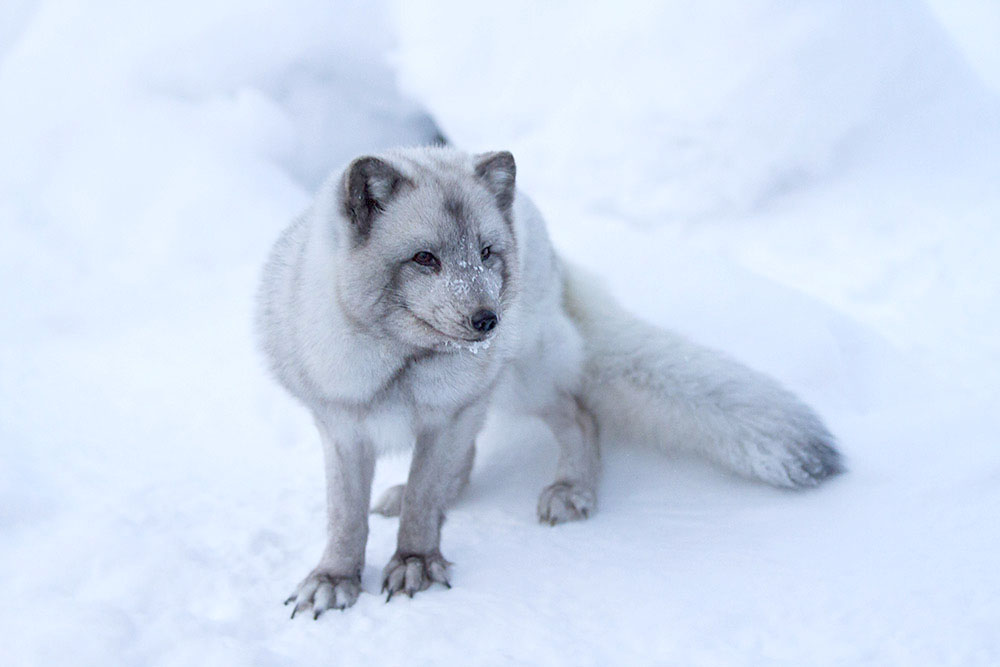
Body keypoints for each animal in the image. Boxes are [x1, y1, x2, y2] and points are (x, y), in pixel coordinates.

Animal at [256, 145, 843, 617]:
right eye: (424, 258)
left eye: (486, 253)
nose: (488, 320)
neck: (403, 366)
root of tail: (542, 230)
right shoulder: (343, 427)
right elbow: (346, 516)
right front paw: (335, 578)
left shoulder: (447, 413)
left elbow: (424, 498)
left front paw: (416, 561)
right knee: (467, 453)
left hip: (524, 379)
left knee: (580, 413)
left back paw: (572, 489)